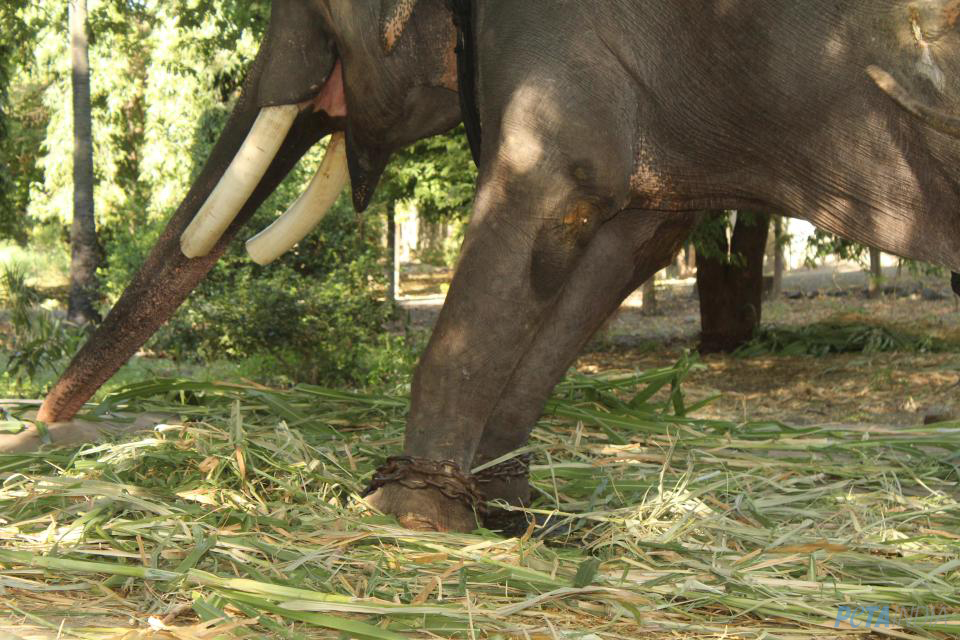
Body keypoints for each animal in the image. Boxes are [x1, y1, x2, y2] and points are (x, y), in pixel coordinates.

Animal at [37, 0, 960, 532]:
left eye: (313, 7)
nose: (45, 426)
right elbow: (631, 233)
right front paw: (504, 502)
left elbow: (548, 189)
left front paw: (400, 514)